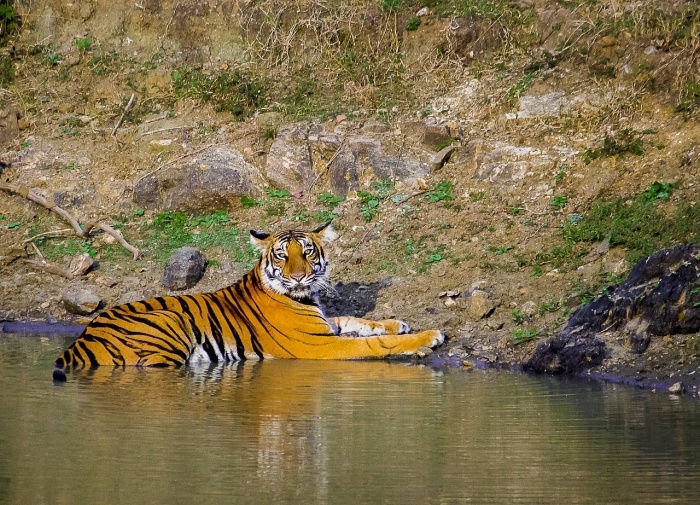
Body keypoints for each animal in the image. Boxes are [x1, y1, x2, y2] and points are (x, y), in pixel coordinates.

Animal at [54, 220, 442, 370]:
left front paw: (397, 323)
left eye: (308, 252)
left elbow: (356, 320)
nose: (298, 276)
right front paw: (427, 338)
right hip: (167, 327)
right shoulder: (319, 346)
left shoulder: (325, 326)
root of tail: (80, 341)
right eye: (282, 255)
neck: (303, 296)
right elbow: (371, 343)